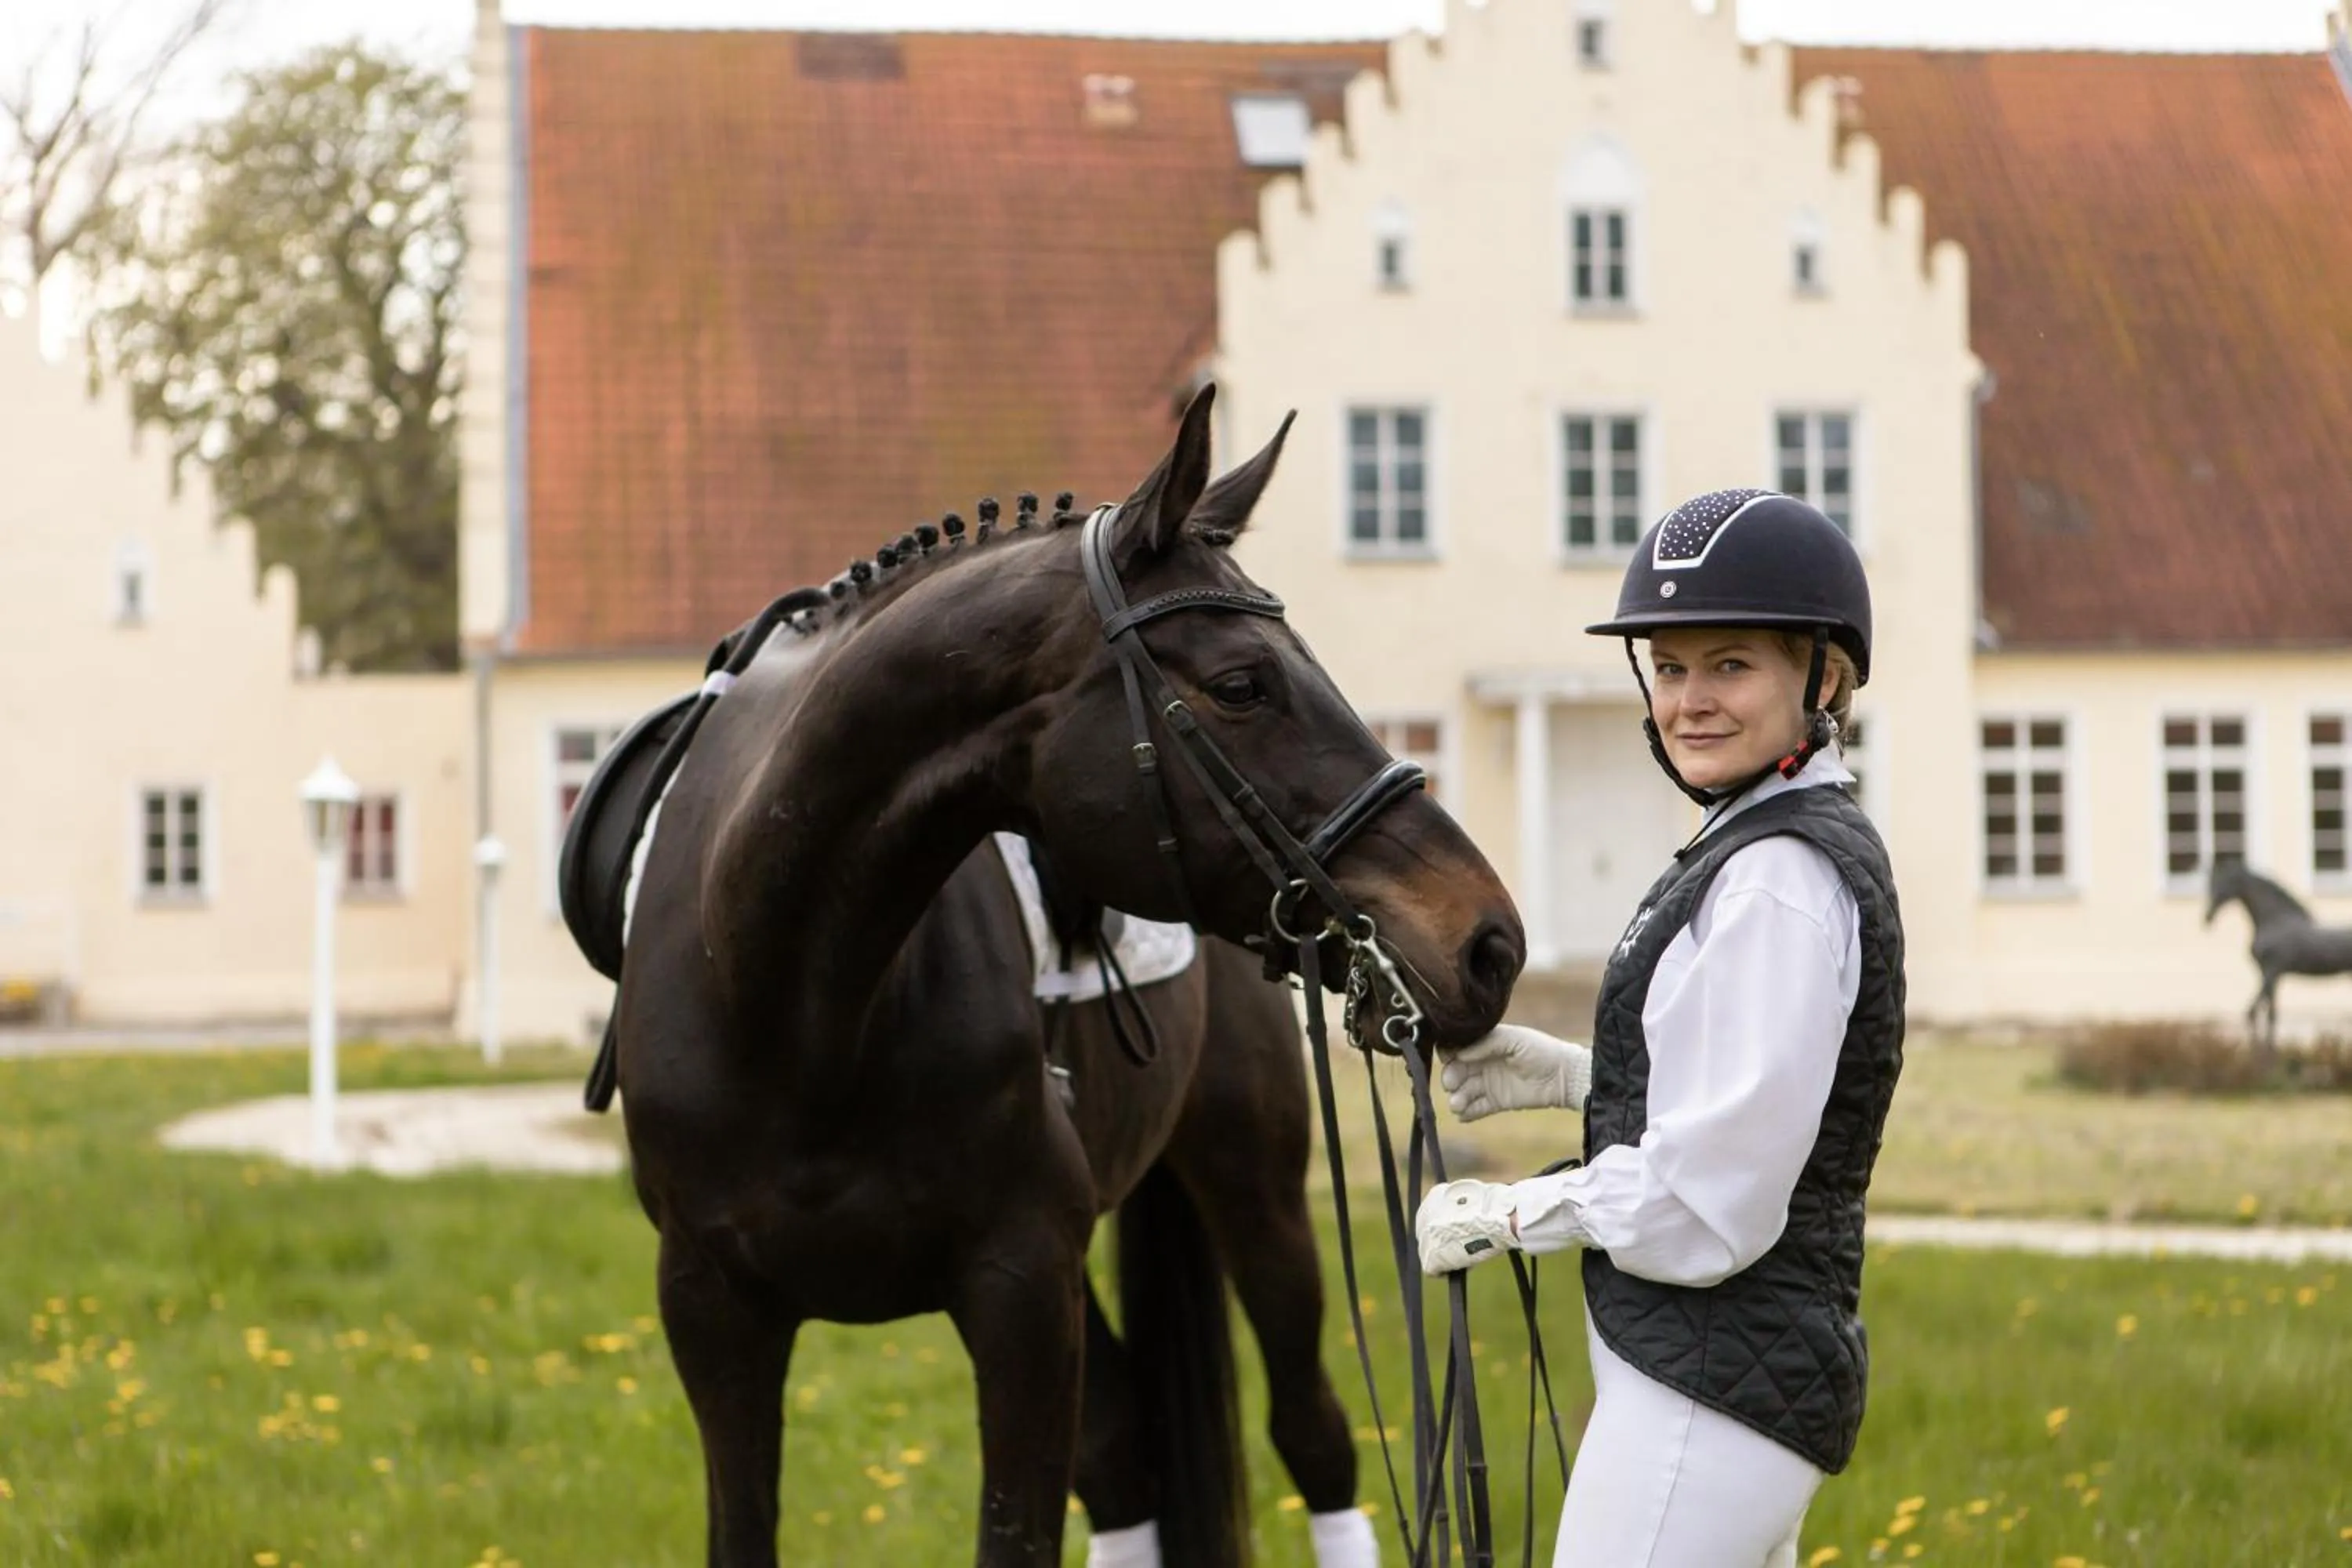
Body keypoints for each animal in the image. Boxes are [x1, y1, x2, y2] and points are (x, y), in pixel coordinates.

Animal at [605, 385, 1525, 1567]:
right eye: (1242, 684)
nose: (1488, 940)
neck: (792, 1001)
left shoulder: (1023, 1290)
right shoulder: (712, 1309)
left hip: (1254, 1192)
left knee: (1311, 1435)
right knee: (1128, 1456)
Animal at [2205, 859, 2352, 1060]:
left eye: (2226, 882)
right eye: (2211, 883)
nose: (2207, 917)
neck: (2275, 920)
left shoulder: (2271, 972)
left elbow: (2258, 1013)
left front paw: (2263, 1056)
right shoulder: (2270, 975)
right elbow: (2266, 1013)